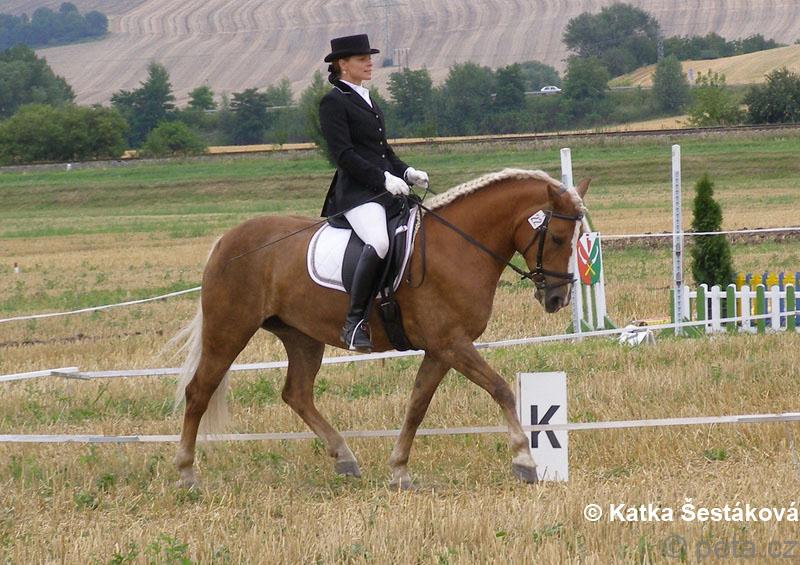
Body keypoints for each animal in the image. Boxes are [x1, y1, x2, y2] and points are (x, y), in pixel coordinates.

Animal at [173, 168, 589, 489]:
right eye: (556, 237)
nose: (558, 298)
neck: (458, 245)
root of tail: (226, 240)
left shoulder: (442, 349)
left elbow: (417, 405)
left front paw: (399, 470)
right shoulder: (452, 343)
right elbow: (500, 388)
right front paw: (525, 461)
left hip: (302, 337)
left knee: (297, 394)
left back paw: (344, 457)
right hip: (229, 331)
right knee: (199, 392)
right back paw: (186, 474)